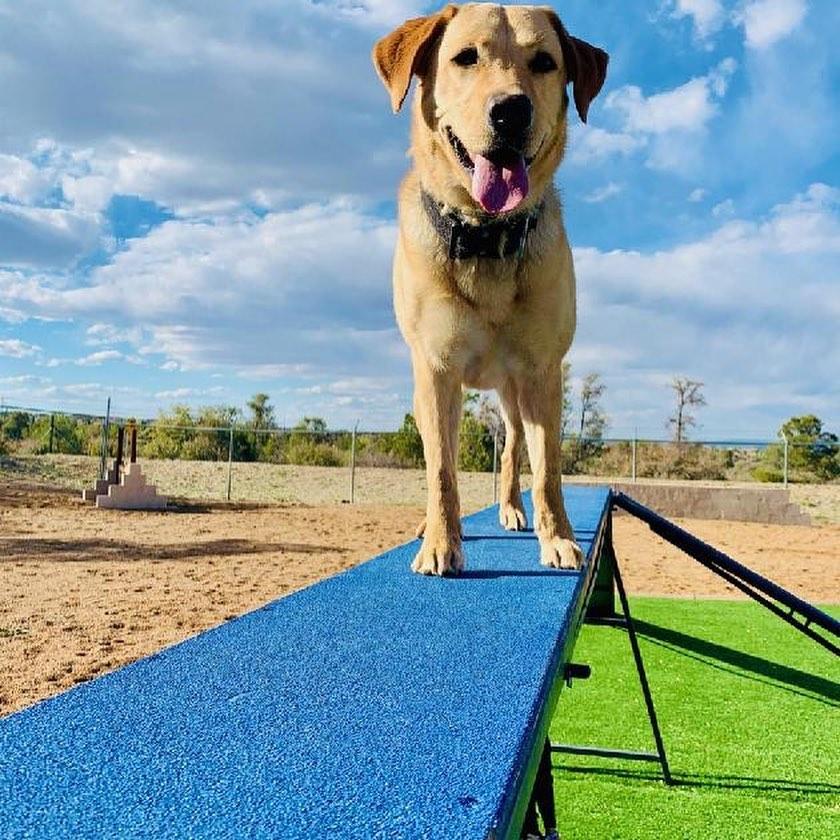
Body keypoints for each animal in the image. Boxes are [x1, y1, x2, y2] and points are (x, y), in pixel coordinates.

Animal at [372, 3, 604, 576]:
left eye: (544, 62)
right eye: (464, 57)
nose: (511, 112)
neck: (485, 233)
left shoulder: (543, 371)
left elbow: (547, 468)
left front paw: (558, 538)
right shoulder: (435, 371)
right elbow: (441, 470)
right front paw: (440, 542)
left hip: (513, 394)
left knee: (513, 449)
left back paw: (513, 510)